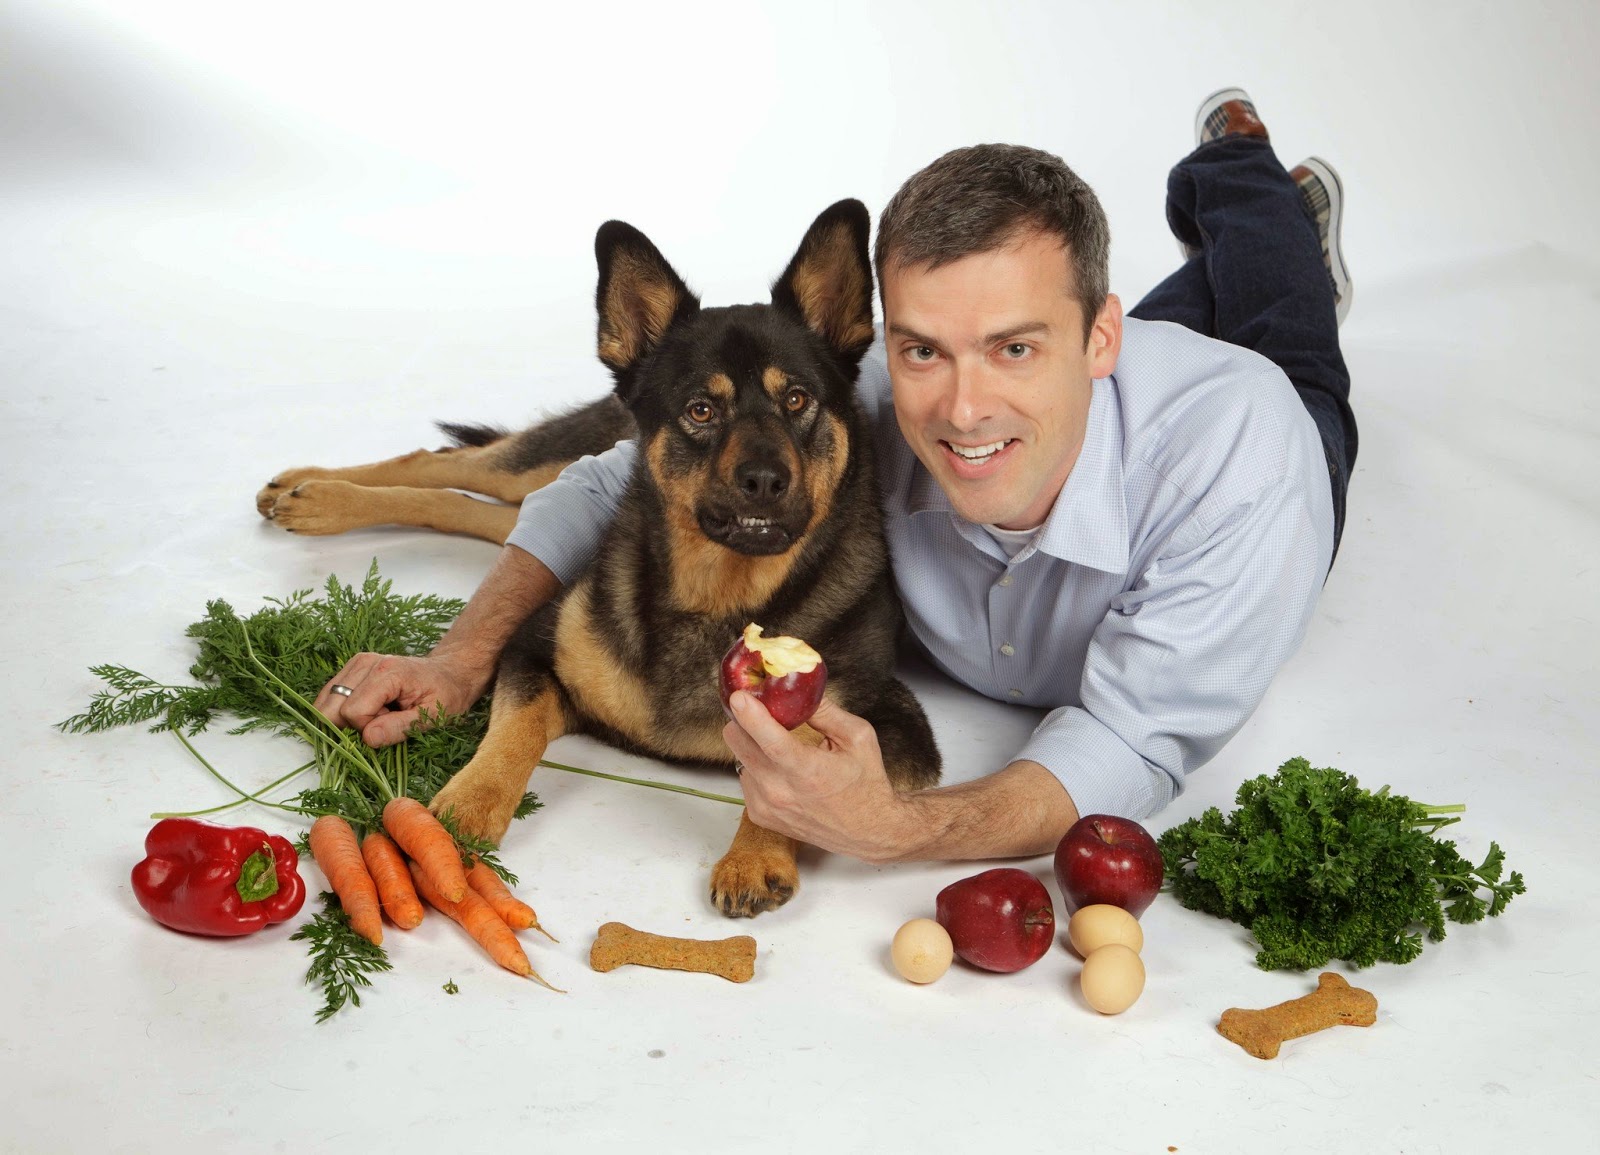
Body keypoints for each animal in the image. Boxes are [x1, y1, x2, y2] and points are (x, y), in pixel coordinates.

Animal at [257, 202, 940, 915]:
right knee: (451, 463)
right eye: (701, 409)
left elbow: (799, 774)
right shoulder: (531, 653)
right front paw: (470, 805)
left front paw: (755, 853)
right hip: (568, 456)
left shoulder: (894, 729)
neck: (715, 596)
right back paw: (312, 492)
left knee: (480, 504)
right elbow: (517, 728)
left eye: (798, 400)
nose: (765, 480)